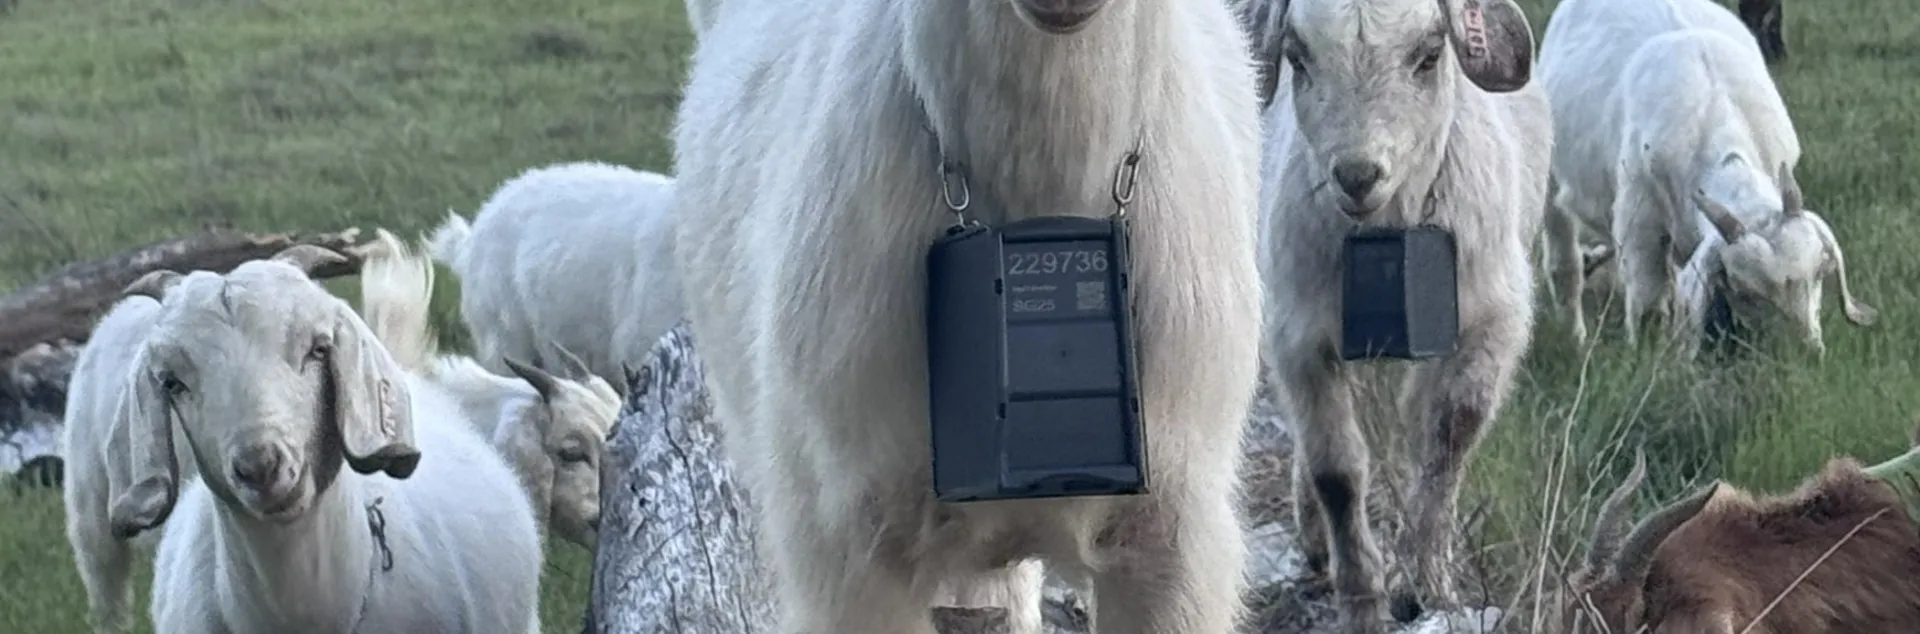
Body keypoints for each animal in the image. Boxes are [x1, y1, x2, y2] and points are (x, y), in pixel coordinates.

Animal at [1243, 0, 1550, 628]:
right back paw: (1315, 541)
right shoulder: (1298, 335)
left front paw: (1426, 583)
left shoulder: (1490, 320)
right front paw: (1362, 599)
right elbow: (1336, 469)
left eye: (1429, 54)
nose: (1358, 175)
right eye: (1297, 57)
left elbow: (1449, 433)